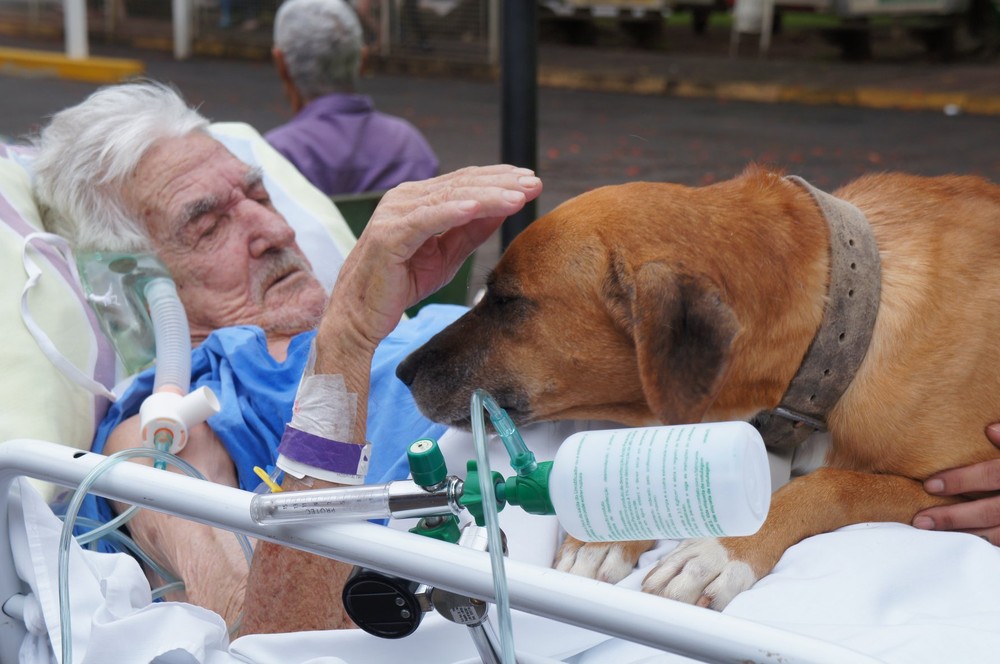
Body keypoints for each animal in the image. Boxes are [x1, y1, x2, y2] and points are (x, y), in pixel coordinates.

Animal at [394, 165, 1000, 608]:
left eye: (508, 301)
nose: (401, 372)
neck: (841, 332)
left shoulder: (965, 496)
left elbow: (834, 486)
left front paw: (719, 552)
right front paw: (608, 535)